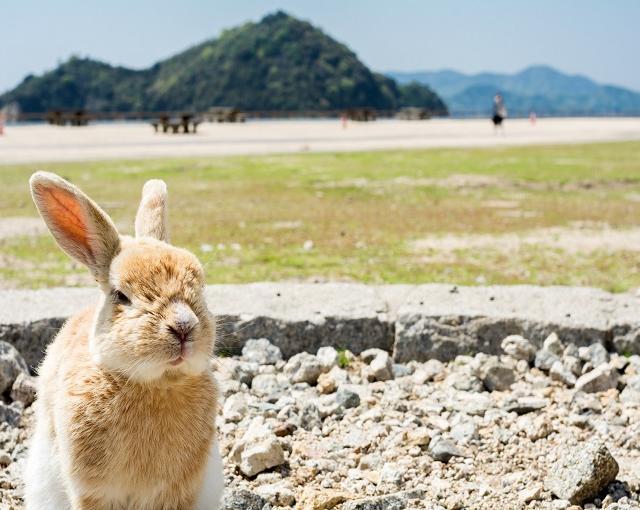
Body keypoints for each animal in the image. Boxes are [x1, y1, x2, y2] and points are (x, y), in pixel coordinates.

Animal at [23, 172, 224, 510]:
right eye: (121, 296)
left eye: (200, 288)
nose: (184, 326)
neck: (154, 383)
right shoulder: (93, 491)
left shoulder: (178, 492)